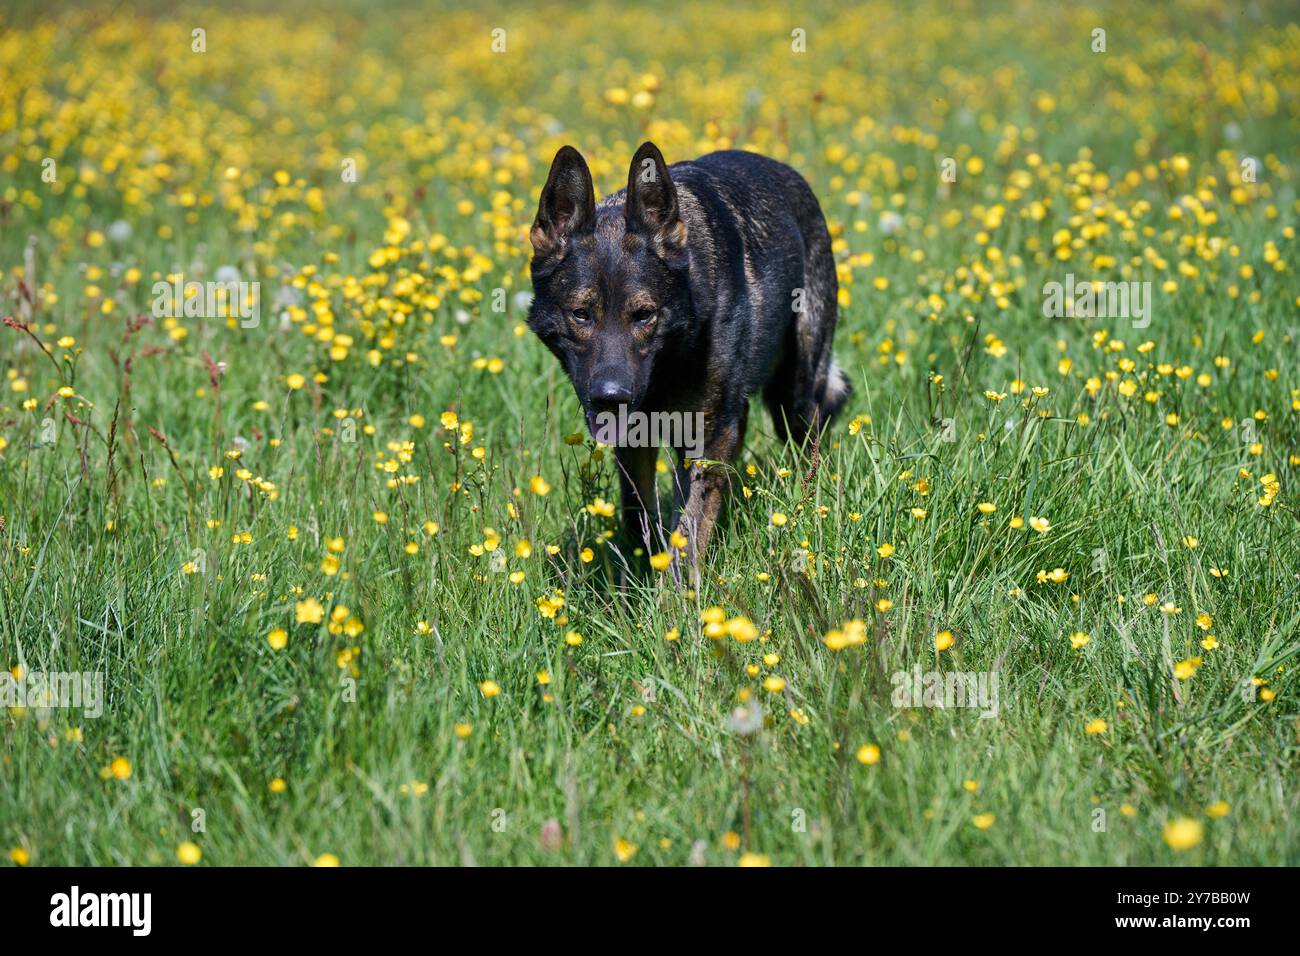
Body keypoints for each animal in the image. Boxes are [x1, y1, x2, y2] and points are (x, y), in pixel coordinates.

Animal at [527, 141, 852, 561]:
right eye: (581, 314)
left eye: (644, 315)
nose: (611, 397)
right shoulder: (635, 442)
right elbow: (638, 513)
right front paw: (638, 572)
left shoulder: (710, 437)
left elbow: (688, 531)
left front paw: (676, 579)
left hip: (793, 399)